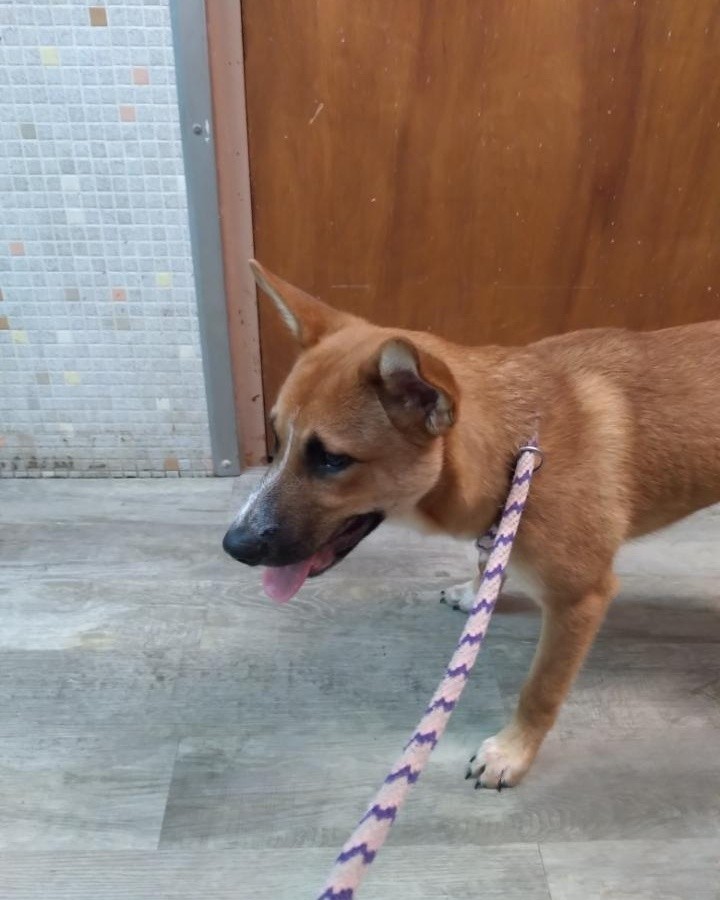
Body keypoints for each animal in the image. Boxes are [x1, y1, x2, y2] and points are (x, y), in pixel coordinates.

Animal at [222, 260, 716, 788]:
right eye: (277, 439)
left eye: (333, 460)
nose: (234, 545)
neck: (517, 450)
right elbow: (488, 564)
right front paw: (478, 591)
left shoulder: (579, 601)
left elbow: (540, 691)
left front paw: (513, 752)